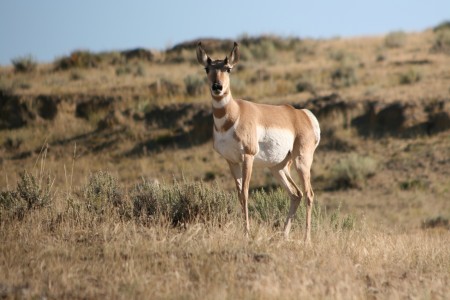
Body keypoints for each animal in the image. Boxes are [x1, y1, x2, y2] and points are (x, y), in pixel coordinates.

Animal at [197, 41, 320, 241]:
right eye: (207, 68)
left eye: (228, 68)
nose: (217, 87)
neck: (234, 114)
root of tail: (302, 114)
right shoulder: (231, 161)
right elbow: (239, 193)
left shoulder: (247, 157)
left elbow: (245, 193)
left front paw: (247, 233)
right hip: (278, 167)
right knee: (296, 194)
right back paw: (283, 236)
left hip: (301, 161)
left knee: (309, 194)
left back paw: (306, 239)